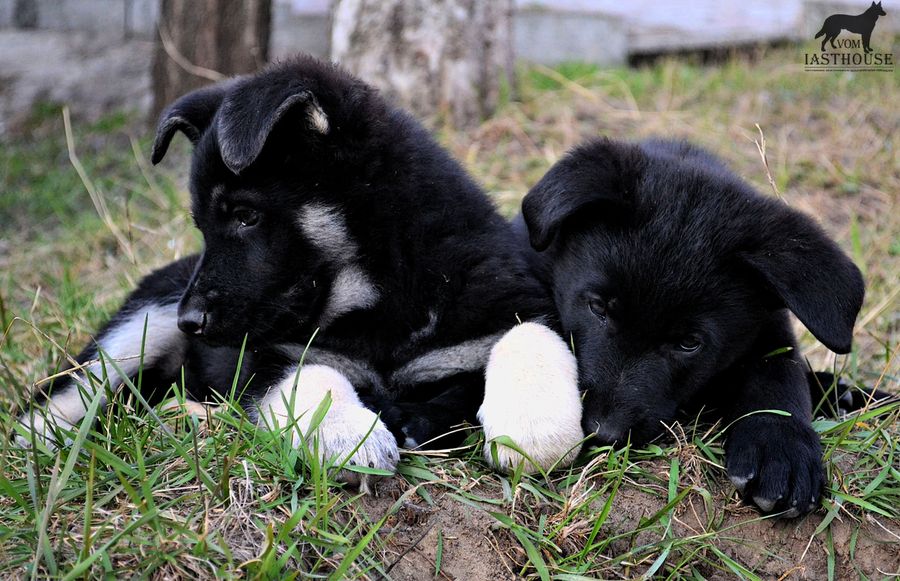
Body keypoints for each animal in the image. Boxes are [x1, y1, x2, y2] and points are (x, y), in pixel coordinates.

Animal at [19, 54, 584, 480]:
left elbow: (524, 336)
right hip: (132, 335)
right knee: (63, 398)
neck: (380, 304)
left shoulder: (497, 315)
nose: (190, 323)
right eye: (204, 225)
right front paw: (347, 432)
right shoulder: (266, 357)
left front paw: (529, 425)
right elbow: (307, 374)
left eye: (245, 216)